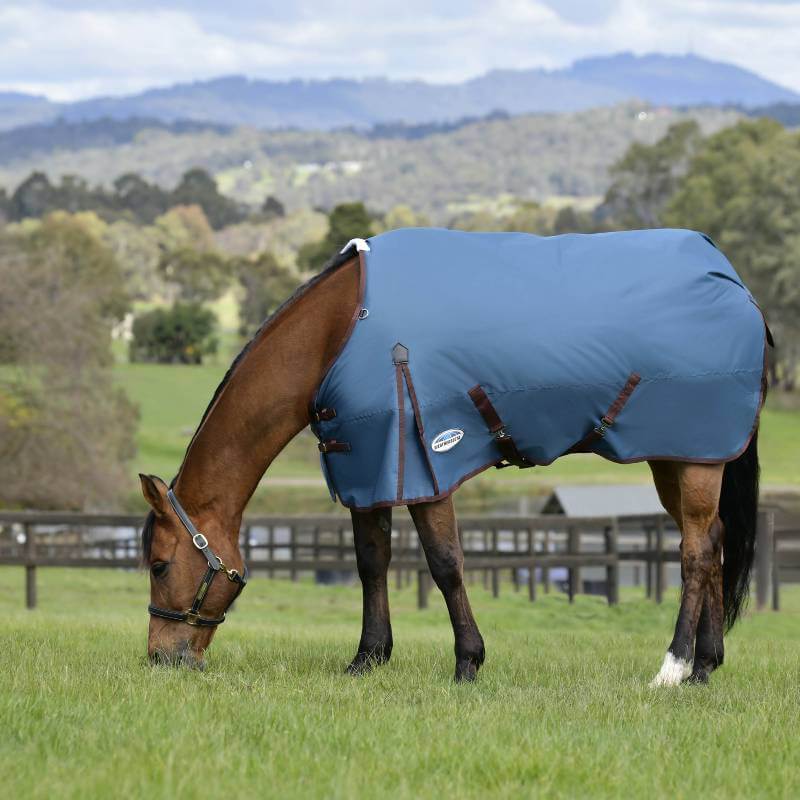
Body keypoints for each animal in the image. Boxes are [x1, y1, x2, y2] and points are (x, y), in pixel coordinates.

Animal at [140, 228, 767, 685]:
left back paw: (673, 668)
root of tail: (735, 282)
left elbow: (445, 564)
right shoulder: (367, 466)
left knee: (693, 553)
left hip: (696, 457)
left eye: (159, 564)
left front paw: (468, 661)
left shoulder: (426, 464)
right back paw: (705, 667)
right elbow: (372, 563)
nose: (161, 658)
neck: (339, 334)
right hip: (675, 455)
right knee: (712, 543)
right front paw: (368, 658)